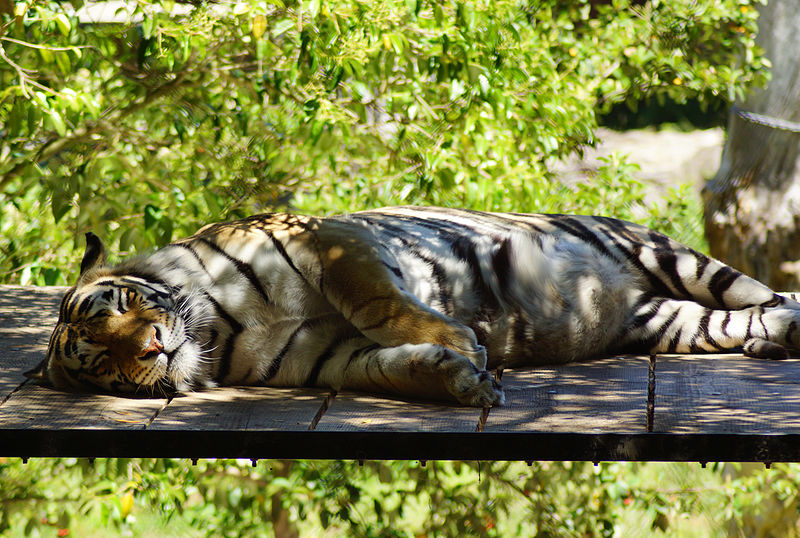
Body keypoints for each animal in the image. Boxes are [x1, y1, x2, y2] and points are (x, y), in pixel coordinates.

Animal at [34, 206, 800, 406]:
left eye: (120, 303)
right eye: (103, 365)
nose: (152, 349)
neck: (221, 330)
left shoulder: (329, 242)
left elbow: (376, 303)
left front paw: (463, 346)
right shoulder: (326, 356)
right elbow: (388, 367)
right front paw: (460, 379)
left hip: (670, 258)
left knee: (768, 293)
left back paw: (786, 326)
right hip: (667, 321)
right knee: (746, 318)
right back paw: (769, 340)